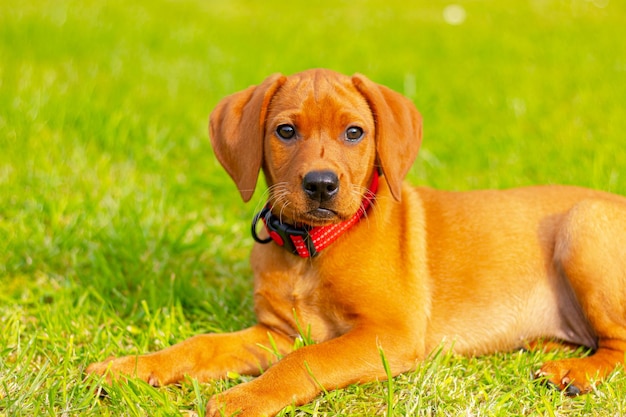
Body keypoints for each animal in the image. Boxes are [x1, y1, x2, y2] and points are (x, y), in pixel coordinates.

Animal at [86, 69, 624, 416]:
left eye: (354, 132)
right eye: (285, 130)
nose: (321, 184)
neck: (313, 248)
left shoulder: (390, 334)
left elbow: (307, 361)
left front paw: (243, 398)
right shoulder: (276, 332)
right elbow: (201, 345)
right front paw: (130, 367)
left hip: (584, 223)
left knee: (616, 343)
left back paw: (573, 374)